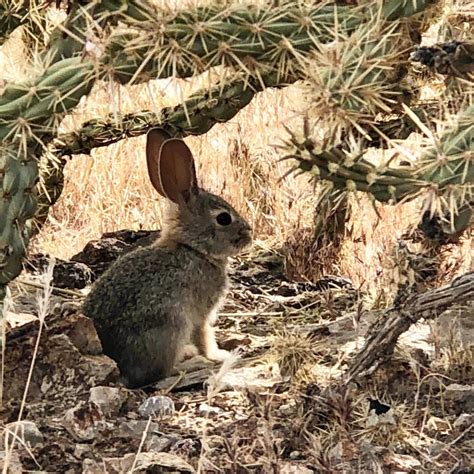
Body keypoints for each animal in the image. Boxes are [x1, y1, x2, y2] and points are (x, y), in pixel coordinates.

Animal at [81, 128, 252, 386]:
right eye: (224, 218)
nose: (249, 234)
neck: (192, 248)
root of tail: (118, 364)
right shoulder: (200, 314)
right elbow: (204, 335)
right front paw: (217, 356)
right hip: (172, 325)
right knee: (160, 372)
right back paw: (193, 362)